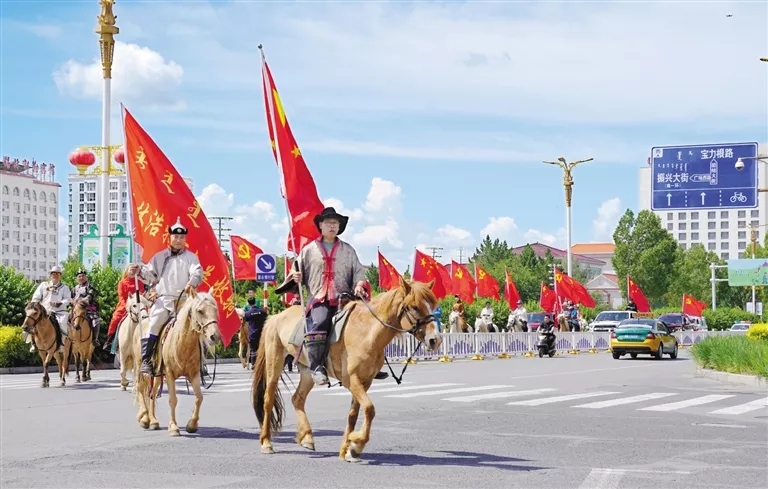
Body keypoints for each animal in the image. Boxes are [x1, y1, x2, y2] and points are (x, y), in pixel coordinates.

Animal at [132, 290, 220, 434]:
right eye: (200, 311)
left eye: (215, 310)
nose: (215, 336)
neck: (183, 343)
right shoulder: (169, 373)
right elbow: (173, 399)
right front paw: (173, 426)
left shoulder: (194, 374)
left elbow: (199, 398)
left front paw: (192, 424)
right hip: (142, 368)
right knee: (140, 388)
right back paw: (144, 417)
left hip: (157, 374)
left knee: (152, 393)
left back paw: (153, 421)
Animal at [252, 278, 440, 462]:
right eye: (415, 307)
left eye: (432, 305)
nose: (435, 340)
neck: (368, 333)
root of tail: (275, 317)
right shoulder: (352, 379)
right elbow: (369, 408)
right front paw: (357, 445)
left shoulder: (365, 381)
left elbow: (354, 414)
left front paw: (347, 450)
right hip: (275, 362)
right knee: (268, 399)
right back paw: (266, 443)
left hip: (307, 372)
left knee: (297, 398)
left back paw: (307, 437)